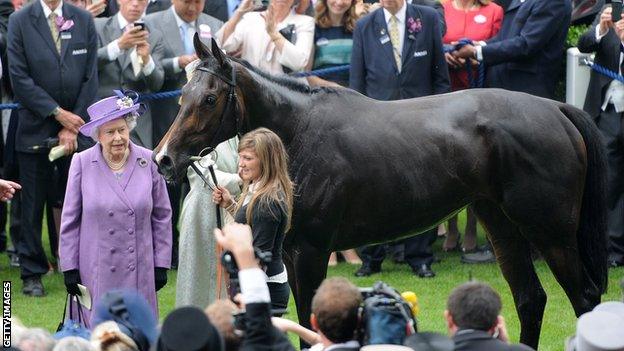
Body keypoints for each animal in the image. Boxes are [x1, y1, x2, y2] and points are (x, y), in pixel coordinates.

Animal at [154, 36, 608, 350]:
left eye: (210, 98)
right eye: (182, 96)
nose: (163, 159)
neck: (298, 132)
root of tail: (556, 109)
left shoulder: (311, 251)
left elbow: (311, 325)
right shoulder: (288, 253)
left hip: (551, 232)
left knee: (585, 298)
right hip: (502, 225)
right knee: (530, 299)